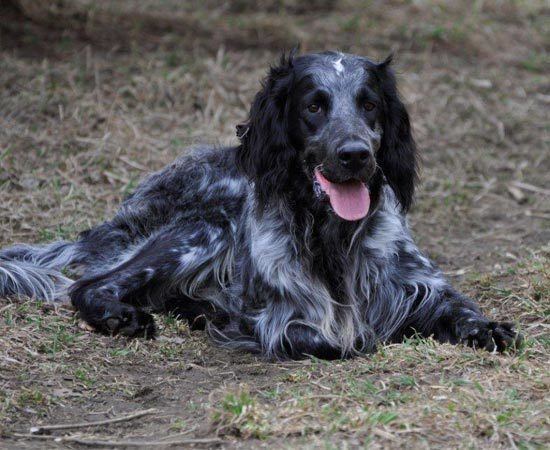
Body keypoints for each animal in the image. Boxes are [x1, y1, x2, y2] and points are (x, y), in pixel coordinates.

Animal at [0, 50, 520, 358]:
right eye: (313, 105)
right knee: (87, 284)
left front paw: (486, 327)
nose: (355, 155)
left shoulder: (418, 283)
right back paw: (122, 314)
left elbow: (459, 306)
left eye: (370, 104)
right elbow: (336, 338)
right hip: (201, 230)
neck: (332, 237)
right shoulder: (277, 315)